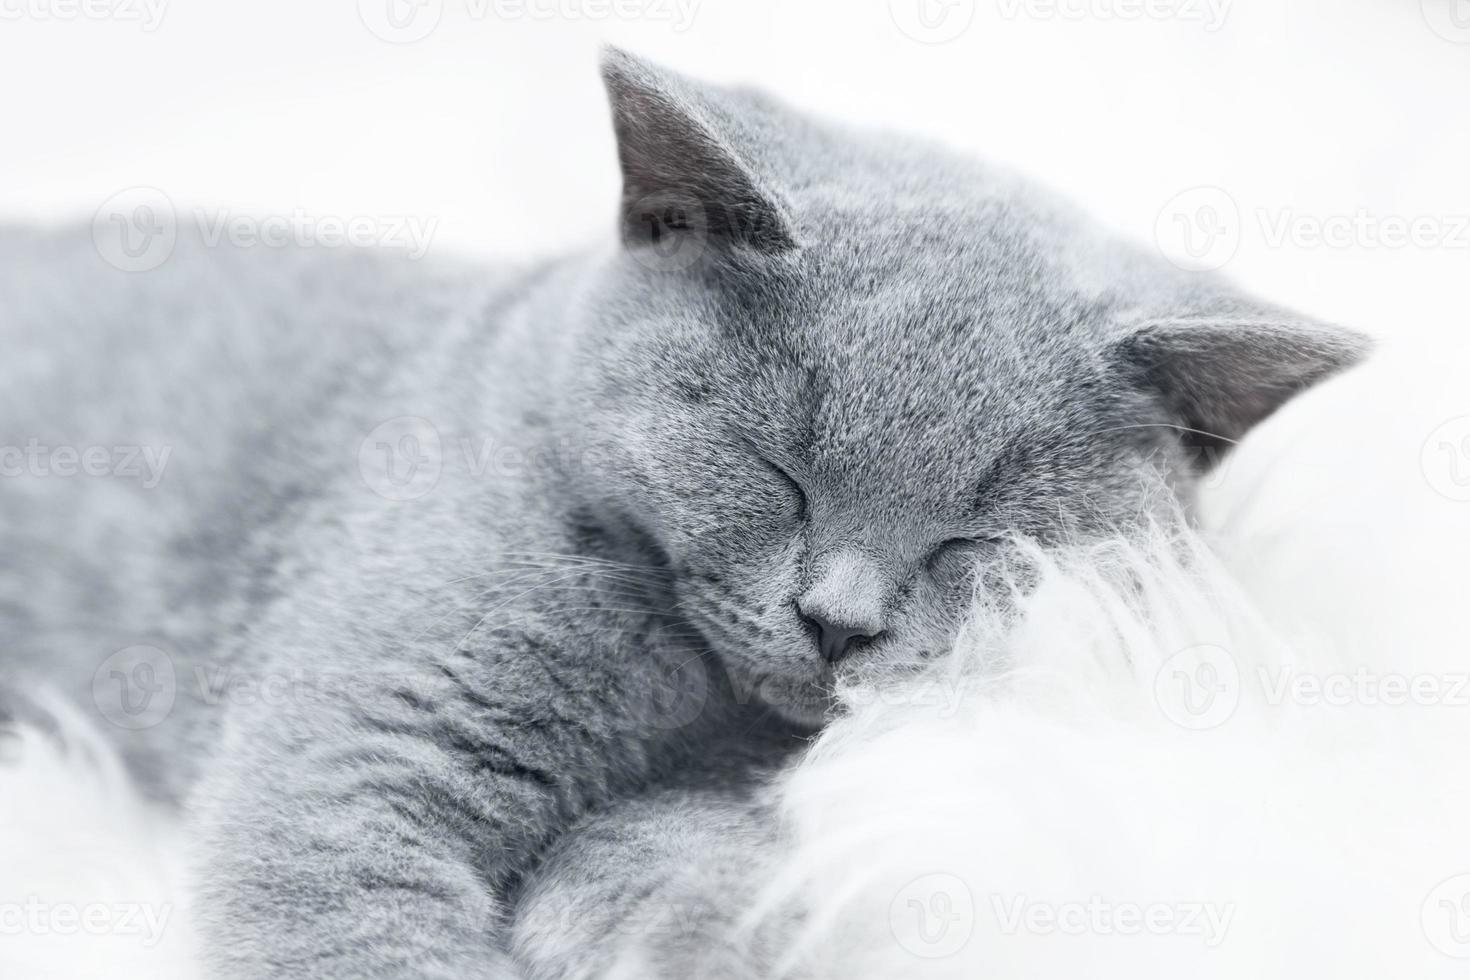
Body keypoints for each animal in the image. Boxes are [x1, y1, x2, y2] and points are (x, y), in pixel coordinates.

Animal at [0, 47, 1364, 980]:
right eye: (778, 469)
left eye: (973, 537)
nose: (838, 620)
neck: (682, 692)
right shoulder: (367, 746)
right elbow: (351, 913)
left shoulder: (734, 798)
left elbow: (695, 876)